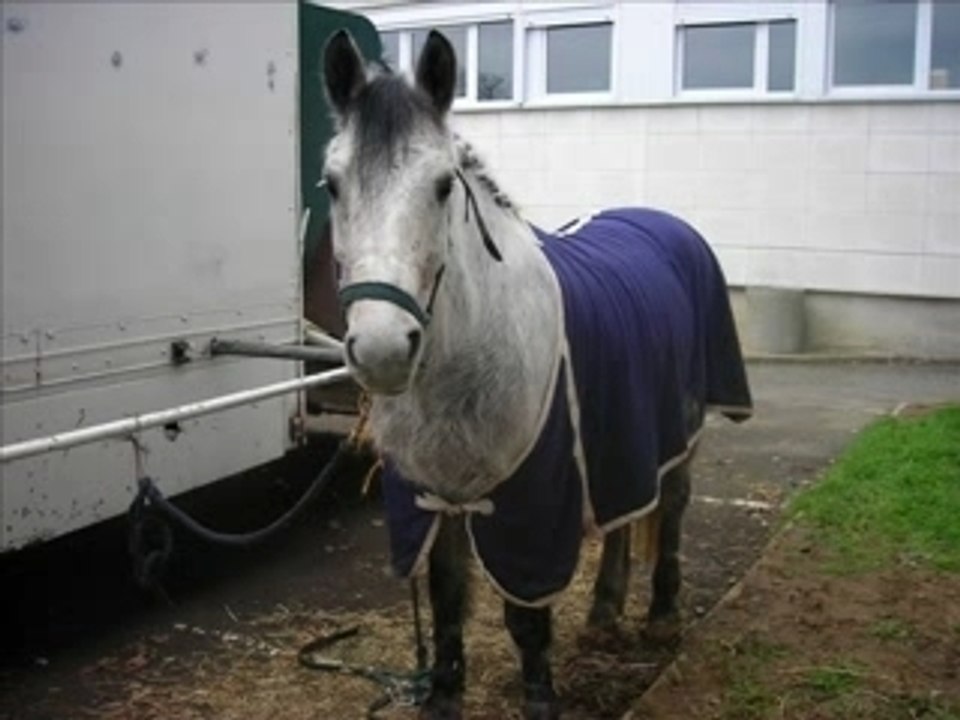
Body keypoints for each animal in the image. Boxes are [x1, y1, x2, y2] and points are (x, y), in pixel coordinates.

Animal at [321, 29, 753, 719]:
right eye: (333, 185)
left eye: (442, 186)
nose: (384, 349)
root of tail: (660, 220)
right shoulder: (433, 497)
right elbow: (447, 600)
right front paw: (442, 700)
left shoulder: (533, 502)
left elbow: (525, 620)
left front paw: (541, 701)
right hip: (620, 440)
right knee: (626, 513)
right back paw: (603, 614)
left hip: (682, 431)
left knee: (673, 505)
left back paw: (661, 615)